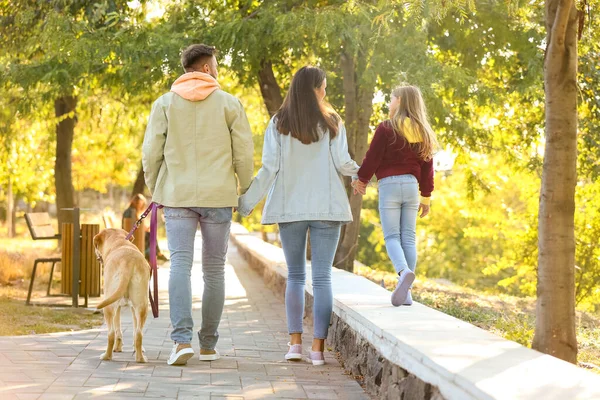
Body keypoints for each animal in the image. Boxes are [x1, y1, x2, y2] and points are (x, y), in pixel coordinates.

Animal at [94, 228, 151, 362]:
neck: (119, 242)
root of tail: (127, 262)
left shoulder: (116, 305)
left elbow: (117, 329)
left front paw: (117, 347)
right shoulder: (132, 307)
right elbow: (134, 330)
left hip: (107, 307)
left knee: (110, 334)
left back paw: (106, 356)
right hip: (142, 306)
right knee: (138, 334)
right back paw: (140, 358)